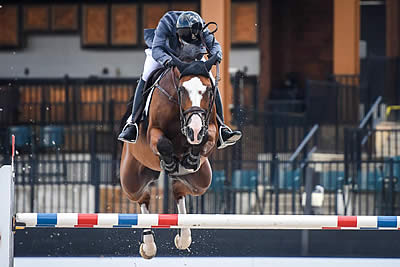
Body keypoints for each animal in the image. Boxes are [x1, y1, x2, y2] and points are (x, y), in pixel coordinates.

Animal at [119, 51, 219, 260]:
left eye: (208, 91)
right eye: (181, 90)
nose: (194, 130)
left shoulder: (210, 126)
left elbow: (207, 137)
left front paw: (191, 156)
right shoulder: (153, 132)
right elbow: (163, 143)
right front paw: (171, 162)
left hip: (201, 179)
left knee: (179, 190)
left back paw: (183, 238)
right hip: (131, 179)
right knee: (143, 198)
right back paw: (148, 246)